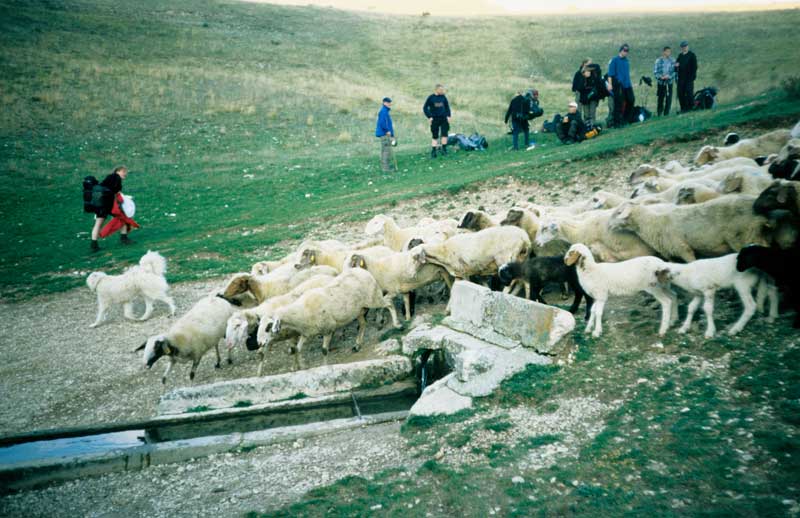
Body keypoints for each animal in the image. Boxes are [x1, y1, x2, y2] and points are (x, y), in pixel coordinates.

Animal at [256, 268, 400, 362]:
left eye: (268, 327)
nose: (259, 343)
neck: (302, 311)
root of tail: (364, 271)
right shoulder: (306, 333)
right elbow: (298, 349)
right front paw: (300, 366)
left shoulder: (328, 329)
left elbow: (324, 351)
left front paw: (325, 367)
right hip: (358, 309)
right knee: (363, 323)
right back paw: (357, 344)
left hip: (373, 298)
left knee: (389, 303)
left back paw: (397, 325)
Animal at [608, 197, 772, 266]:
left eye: (619, 212)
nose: (608, 226)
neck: (655, 224)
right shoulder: (670, 254)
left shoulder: (683, 248)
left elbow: (692, 263)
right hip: (756, 234)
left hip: (744, 237)